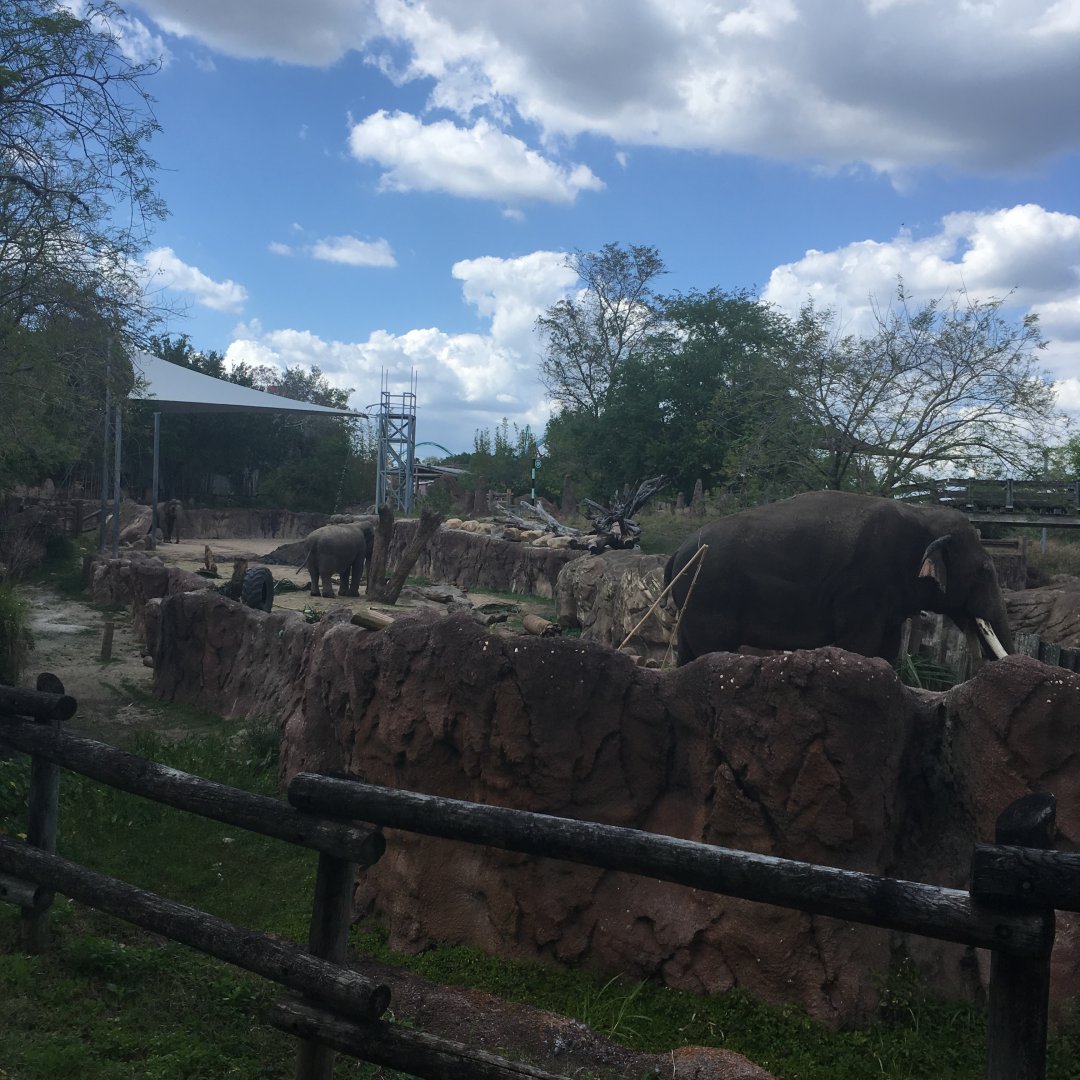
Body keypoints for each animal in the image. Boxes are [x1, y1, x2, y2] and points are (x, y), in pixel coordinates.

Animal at [664, 490, 1014, 667]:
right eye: (986, 571)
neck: (922, 513)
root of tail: (676, 552)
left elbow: (888, 648)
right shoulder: (863, 586)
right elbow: (861, 644)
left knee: (687, 652)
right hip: (710, 596)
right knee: (710, 649)